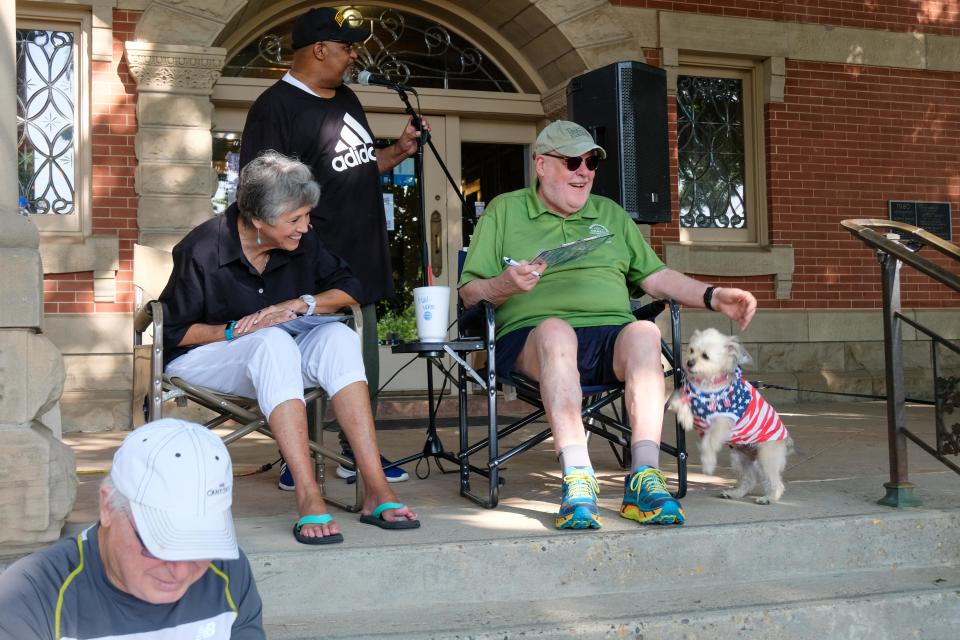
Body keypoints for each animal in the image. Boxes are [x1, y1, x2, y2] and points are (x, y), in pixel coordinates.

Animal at [672, 328, 792, 502]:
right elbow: (680, 402)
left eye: (705, 356)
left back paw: (769, 497)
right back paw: (735, 493)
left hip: (766, 456)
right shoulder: (686, 395)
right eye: (691, 350)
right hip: (740, 458)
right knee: (749, 480)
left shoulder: (722, 421)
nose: (689, 362)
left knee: (776, 481)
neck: (707, 386)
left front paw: (708, 464)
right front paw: (686, 419)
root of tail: (785, 438)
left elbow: (708, 443)